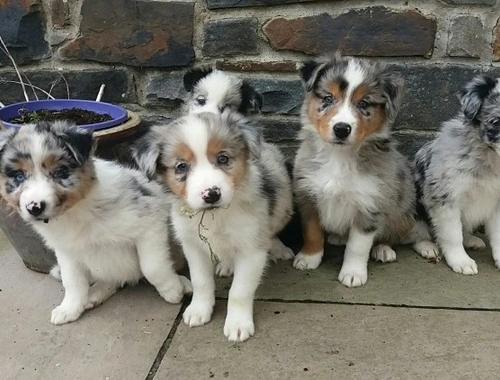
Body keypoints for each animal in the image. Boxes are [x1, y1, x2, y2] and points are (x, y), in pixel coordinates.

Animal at [0, 121, 191, 324]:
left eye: (59, 172)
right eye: (19, 176)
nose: (35, 207)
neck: (75, 211)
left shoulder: (150, 223)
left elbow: (152, 267)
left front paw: (173, 290)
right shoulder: (66, 251)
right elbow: (72, 281)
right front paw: (69, 308)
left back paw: (184, 284)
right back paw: (94, 294)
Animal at [135, 110, 294, 342]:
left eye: (223, 158)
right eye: (181, 166)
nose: (211, 194)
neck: (214, 215)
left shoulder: (251, 247)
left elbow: (239, 290)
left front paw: (238, 324)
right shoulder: (193, 245)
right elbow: (201, 281)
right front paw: (199, 310)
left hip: (283, 203)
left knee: (273, 228)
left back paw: (279, 249)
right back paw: (227, 265)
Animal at [292, 52, 414, 286]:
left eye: (364, 103)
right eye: (328, 98)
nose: (341, 129)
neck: (339, 156)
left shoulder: (369, 204)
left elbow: (357, 246)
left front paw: (353, 273)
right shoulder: (308, 196)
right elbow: (312, 232)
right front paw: (309, 258)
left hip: (402, 213)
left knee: (388, 235)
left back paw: (383, 249)